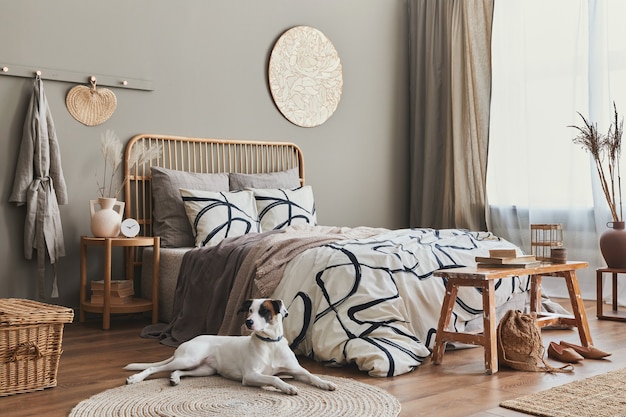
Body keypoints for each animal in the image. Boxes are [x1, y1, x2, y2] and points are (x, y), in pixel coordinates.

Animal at [123, 296, 336, 394]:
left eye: (264, 311)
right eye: (249, 311)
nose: (248, 322)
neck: (270, 345)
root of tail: (190, 340)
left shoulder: (296, 371)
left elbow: (311, 375)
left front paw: (326, 383)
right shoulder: (251, 375)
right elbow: (274, 378)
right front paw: (287, 387)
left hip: (204, 369)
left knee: (176, 371)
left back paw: (175, 378)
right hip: (189, 359)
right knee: (154, 368)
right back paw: (135, 378)